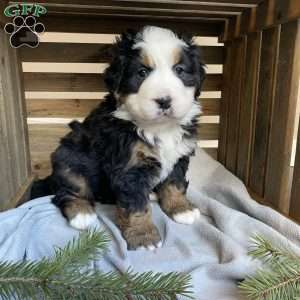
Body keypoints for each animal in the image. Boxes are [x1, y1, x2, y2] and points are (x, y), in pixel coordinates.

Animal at [33, 26, 206, 251]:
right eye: (142, 73)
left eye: (179, 70)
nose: (164, 100)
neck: (159, 128)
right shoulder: (129, 167)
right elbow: (136, 206)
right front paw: (143, 236)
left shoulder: (179, 155)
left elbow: (174, 184)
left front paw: (181, 209)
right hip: (68, 159)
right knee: (67, 191)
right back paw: (82, 213)